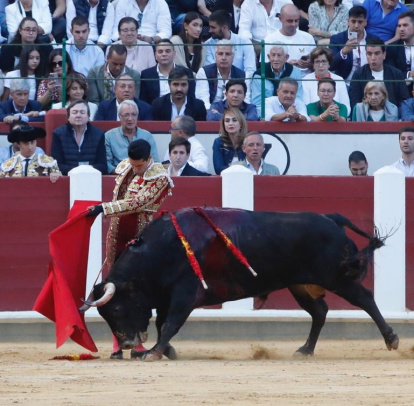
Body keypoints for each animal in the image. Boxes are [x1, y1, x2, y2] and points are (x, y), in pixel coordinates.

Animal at [85, 208, 400, 360]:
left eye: (116, 309)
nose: (127, 343)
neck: (161, 249)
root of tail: (330, 219)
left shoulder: (185, 294)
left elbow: (170, 324)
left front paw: (154, 353)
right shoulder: (166, 297)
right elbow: (164, 323)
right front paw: (165, 351)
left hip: (336, 277)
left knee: (365, 299)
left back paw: (391, 339)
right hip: (300, 284)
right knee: (320, 312)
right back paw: (305, 350)